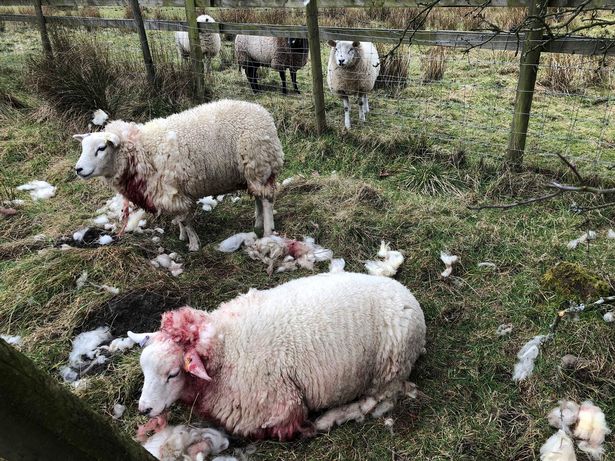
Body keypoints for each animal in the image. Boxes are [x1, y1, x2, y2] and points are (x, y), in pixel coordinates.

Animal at [74, 101, 284, 252]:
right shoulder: (172, 192)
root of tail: (263, 113)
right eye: (83, 147)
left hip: (259, 164)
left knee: (266, 200)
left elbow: (183, 219)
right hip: (252, 172)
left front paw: (193, 244)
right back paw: (257, 224)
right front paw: (184, 236)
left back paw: (267, 231)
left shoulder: (172, 190)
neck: (141, 150)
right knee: (258, 197)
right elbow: (179, 217)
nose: (78, 169)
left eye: (101, 148)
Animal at [129, 272, 428, 440]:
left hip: (389, 366)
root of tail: (409, 297)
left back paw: (330, 418)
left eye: (173, 374)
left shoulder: (278, 407)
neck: (224, 347)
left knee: (377, 401)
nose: (144, 409)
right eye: (144, 370)